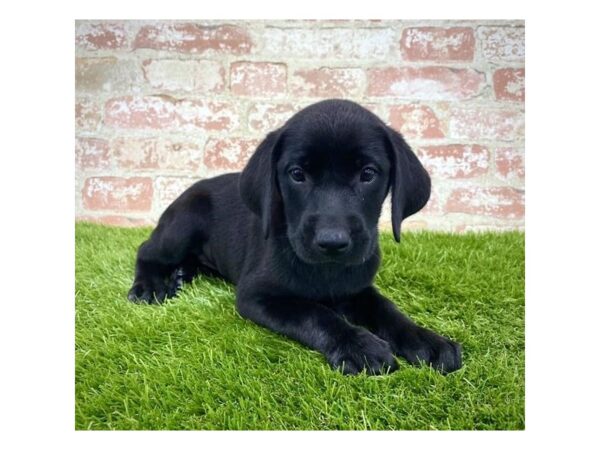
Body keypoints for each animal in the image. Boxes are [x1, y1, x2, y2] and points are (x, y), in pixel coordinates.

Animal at [129, 99, 462, 376]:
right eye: (297, 174)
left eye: (368, 174)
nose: (332, 242)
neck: (327, 272)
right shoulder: (257, 295)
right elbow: (314, 313)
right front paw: (359, 347)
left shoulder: (357, 287)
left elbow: (386, 309)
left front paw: (426, 340)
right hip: (183, 223)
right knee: (146, 250)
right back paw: (150, 286)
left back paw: (182, 275)